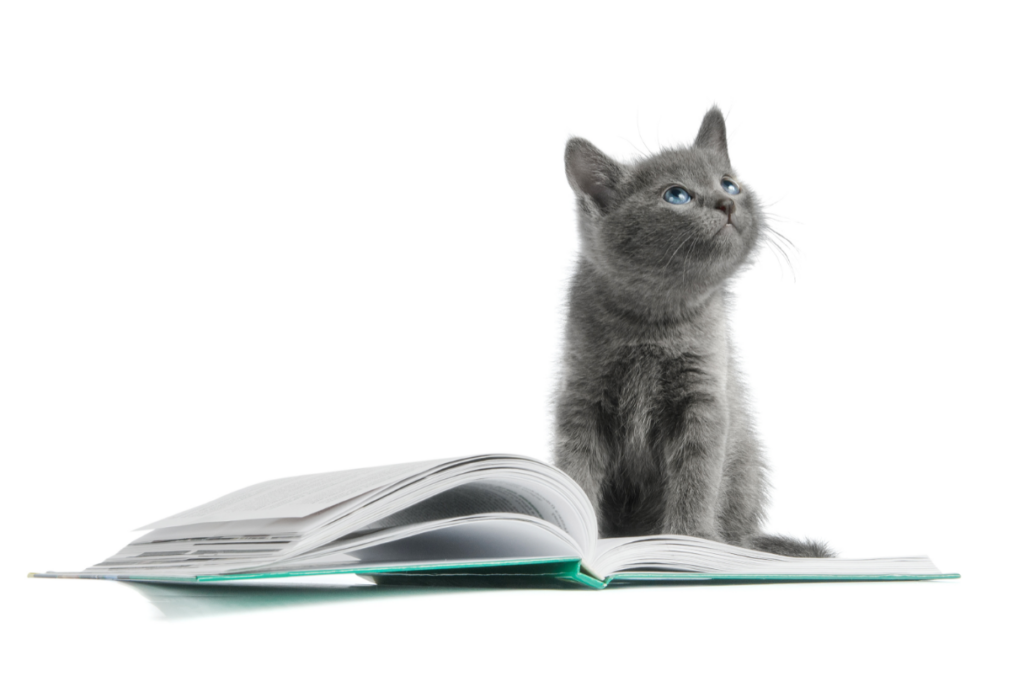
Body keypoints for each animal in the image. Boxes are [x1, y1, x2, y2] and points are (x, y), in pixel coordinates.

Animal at [552, 108, 831, 557]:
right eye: (676, 196)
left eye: (729, 183)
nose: (726, 201)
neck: (654, 322)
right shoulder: (581, 396)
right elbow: (576, 467)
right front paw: (576, 538)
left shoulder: (703, 398)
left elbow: (696, 474)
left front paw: (689, 540)